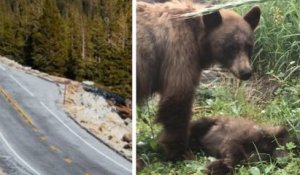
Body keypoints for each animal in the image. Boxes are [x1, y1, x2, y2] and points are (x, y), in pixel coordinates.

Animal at [136, 0, 260, 160]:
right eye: (231, 47)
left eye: (249, 46)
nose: (245, 72)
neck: (198, 36)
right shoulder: (179, 52)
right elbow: (178, 98)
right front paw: (181, 151)